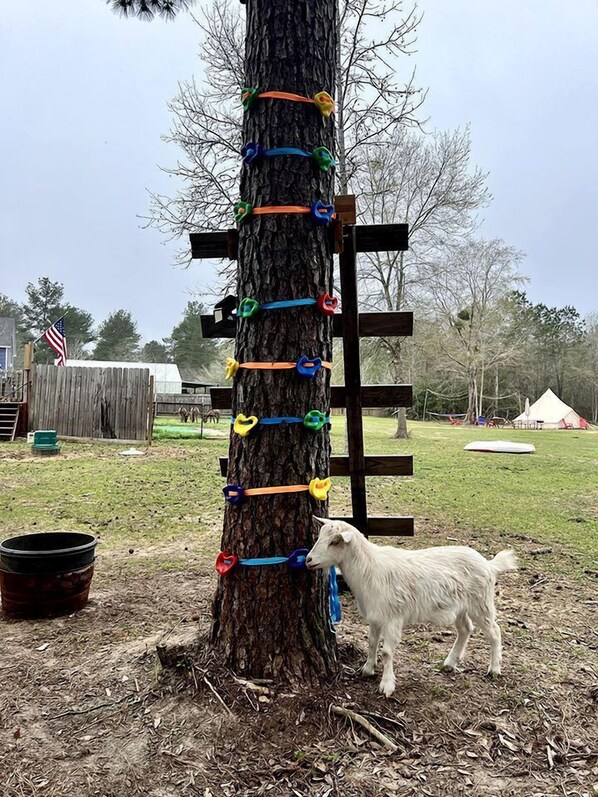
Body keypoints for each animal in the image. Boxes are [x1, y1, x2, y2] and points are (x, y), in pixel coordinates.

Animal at [305, 519, 517, 697]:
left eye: (335, 542)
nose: (308, 560)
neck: (368, 569)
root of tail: (490, 565)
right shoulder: (375, 616)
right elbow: (372, 642)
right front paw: (367, 669)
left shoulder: (392, 617)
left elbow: (386, 651)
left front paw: (387, 685)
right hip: (460, 607)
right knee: (465, 629)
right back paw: (449, 663)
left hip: (481, 602)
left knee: (494, 632)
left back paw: (494, 669)